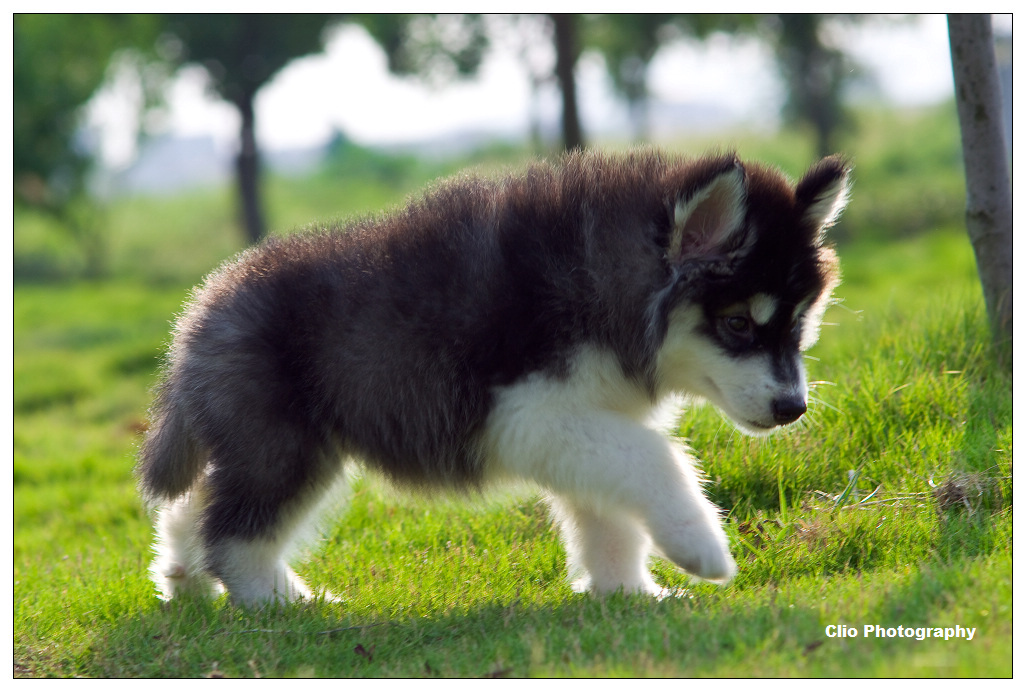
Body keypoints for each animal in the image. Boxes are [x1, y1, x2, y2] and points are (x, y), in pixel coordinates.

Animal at [140, 147, 853, 599]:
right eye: (738, 325)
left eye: (799, 324)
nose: (793, 408)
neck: (605, 282)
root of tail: (198, 311)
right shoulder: (531, 412)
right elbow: (655, 458)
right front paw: (699, 544)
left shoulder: (590, 419)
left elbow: (610, 513)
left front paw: (627, 593)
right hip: (286, 448)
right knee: (234, 535)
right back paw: (286, 603)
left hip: (263, 445)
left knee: (197, 506)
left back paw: (182, 577)